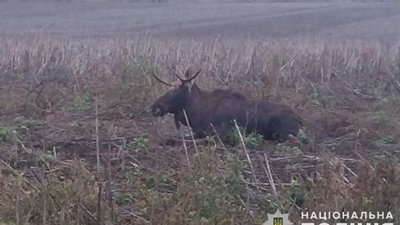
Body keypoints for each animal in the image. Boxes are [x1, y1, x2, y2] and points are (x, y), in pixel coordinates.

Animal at [151, 68, 304, 142]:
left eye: (177, 91)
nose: (155, 106)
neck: (197, 114)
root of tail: (300, 119)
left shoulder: (223, 132)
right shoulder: (199, 131)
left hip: (280, 129)